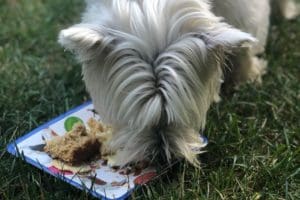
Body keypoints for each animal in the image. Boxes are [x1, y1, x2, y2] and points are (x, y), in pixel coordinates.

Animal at [58, 0, 298, 166]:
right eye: (131, 119)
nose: (162, 158)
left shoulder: (245, 9)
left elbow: (246, 34)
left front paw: (249, 75)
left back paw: (287, 13)